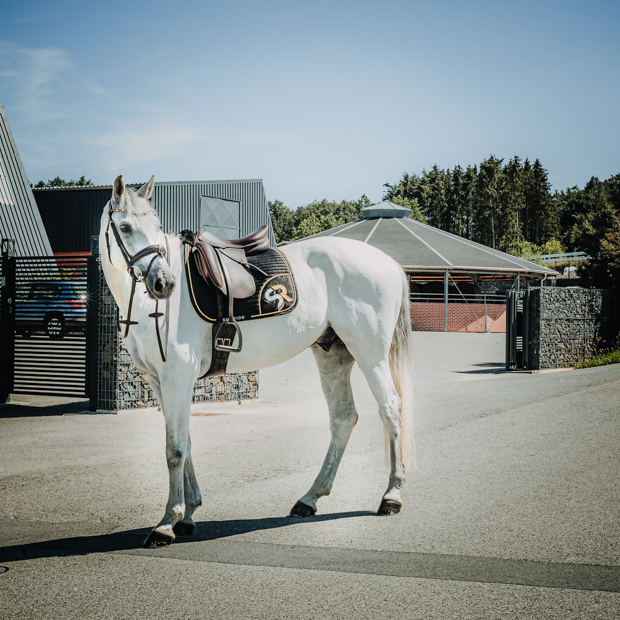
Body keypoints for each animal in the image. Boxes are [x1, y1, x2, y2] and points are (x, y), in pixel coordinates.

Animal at [99, 174, 414, 548]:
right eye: (126, 227)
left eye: (156, 227)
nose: (165, 283)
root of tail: (388, 262)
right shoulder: (161, 382)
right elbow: (184, 443)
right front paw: (188, 514)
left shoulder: (177, 378)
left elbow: (174, 450)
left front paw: (166, 523)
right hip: (333, 354)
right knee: (343, 418)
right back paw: (310, 498)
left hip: (370, 354)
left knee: (391, 410)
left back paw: (391, 496)